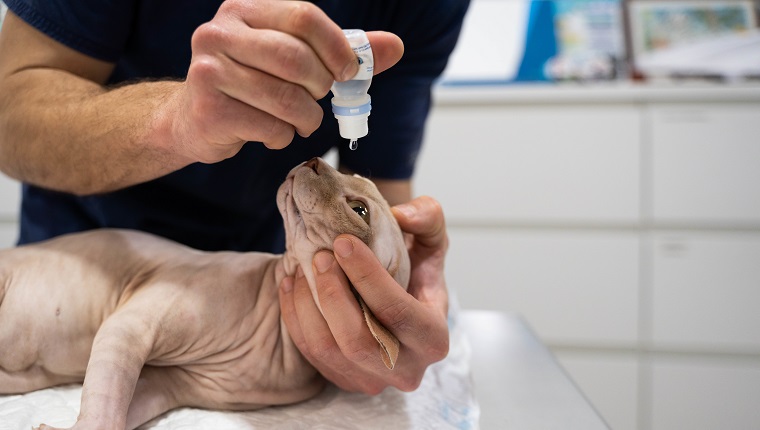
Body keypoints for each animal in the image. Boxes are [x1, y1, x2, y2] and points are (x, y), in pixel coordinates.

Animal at [0, 158, 410, 430]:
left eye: (359, 210)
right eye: (352, 174)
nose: (315, 160)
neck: (275, 329)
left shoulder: (173, 384)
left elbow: (121, 411)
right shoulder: (128, 328)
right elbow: (106, 406)